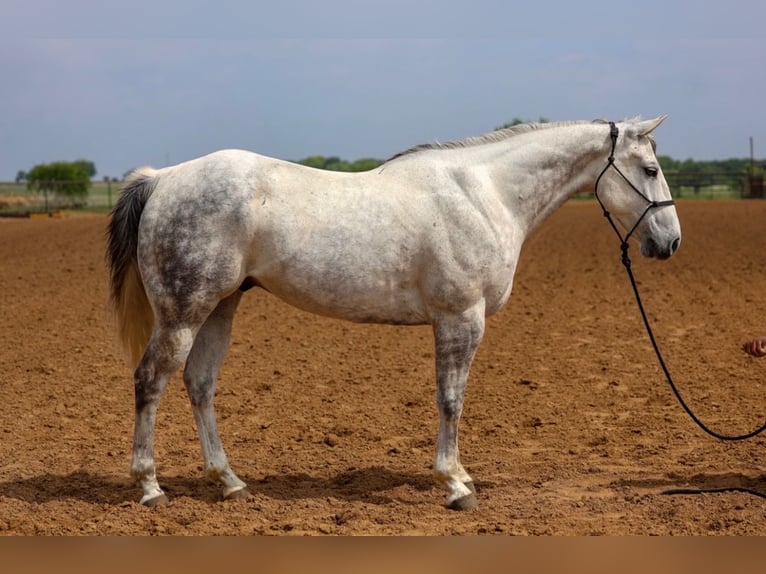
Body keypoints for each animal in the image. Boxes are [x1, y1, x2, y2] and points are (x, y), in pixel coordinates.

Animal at [106, 116, 681, 510]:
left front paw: (460, 476)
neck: (484, 193)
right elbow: (451, 400)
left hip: (220, 306)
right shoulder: (461, 318)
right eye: (650, 169)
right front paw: (455, 486)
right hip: (184, 312)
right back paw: (151, 487)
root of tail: (163, 178)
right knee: (150, 381)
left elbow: (453, 400)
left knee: (199, 384)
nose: (670, 242)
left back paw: (229, 482)